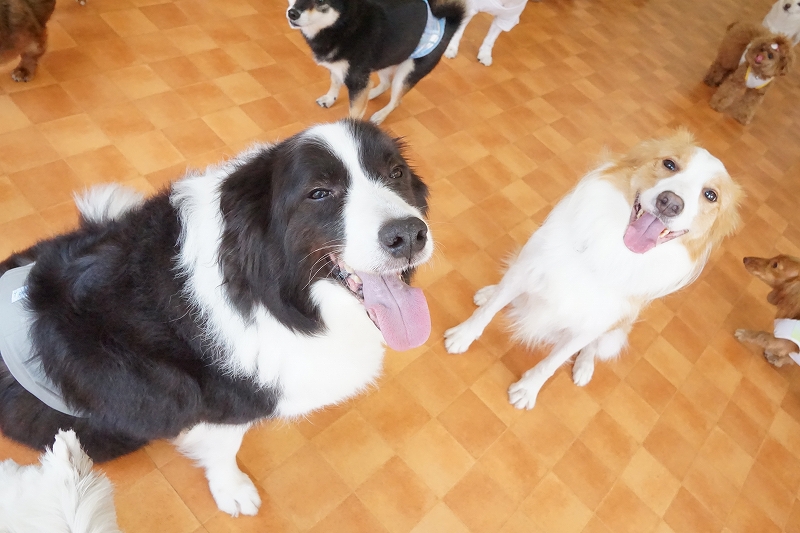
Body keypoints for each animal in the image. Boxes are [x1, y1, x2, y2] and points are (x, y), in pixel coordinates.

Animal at [0, 119, 433, 517]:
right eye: (320, 193)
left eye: (395, 173)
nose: (409, 235)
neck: (268, 295)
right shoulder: (223, 407)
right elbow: (225, 449)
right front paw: (233, 490)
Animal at [286, 0, 466, 124]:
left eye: (321, 0)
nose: (292, 13)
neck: (342, 25)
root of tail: (447, 23)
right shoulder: (338, 68)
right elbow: (335, 82)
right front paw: (329, 99)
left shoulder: (357, 79)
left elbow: (354, 111)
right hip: (387, 58)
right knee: (385, 83)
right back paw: (371, 93)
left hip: (406, 72)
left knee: (396, 100)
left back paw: (379, 115)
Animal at [444, 131, 742, 410]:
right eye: (670, 164)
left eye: (710, 195)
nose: (669, 202)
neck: (611, 249)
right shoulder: (528, 267)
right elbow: (487, 311)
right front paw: (462, 336)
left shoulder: (594, 321)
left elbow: (554, 361)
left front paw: (527, 390)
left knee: (594, 347)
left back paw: (584, 367)